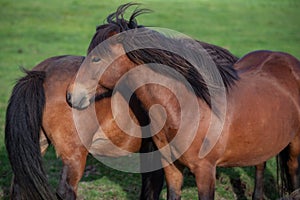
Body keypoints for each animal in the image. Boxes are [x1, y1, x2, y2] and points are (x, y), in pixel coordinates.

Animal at [67, 3, 300, 200]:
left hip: (294, 146)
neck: (187, 109)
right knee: (260, 167)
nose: (70, 96)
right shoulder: (172, 168)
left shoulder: (205, 172)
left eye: (97, 58)